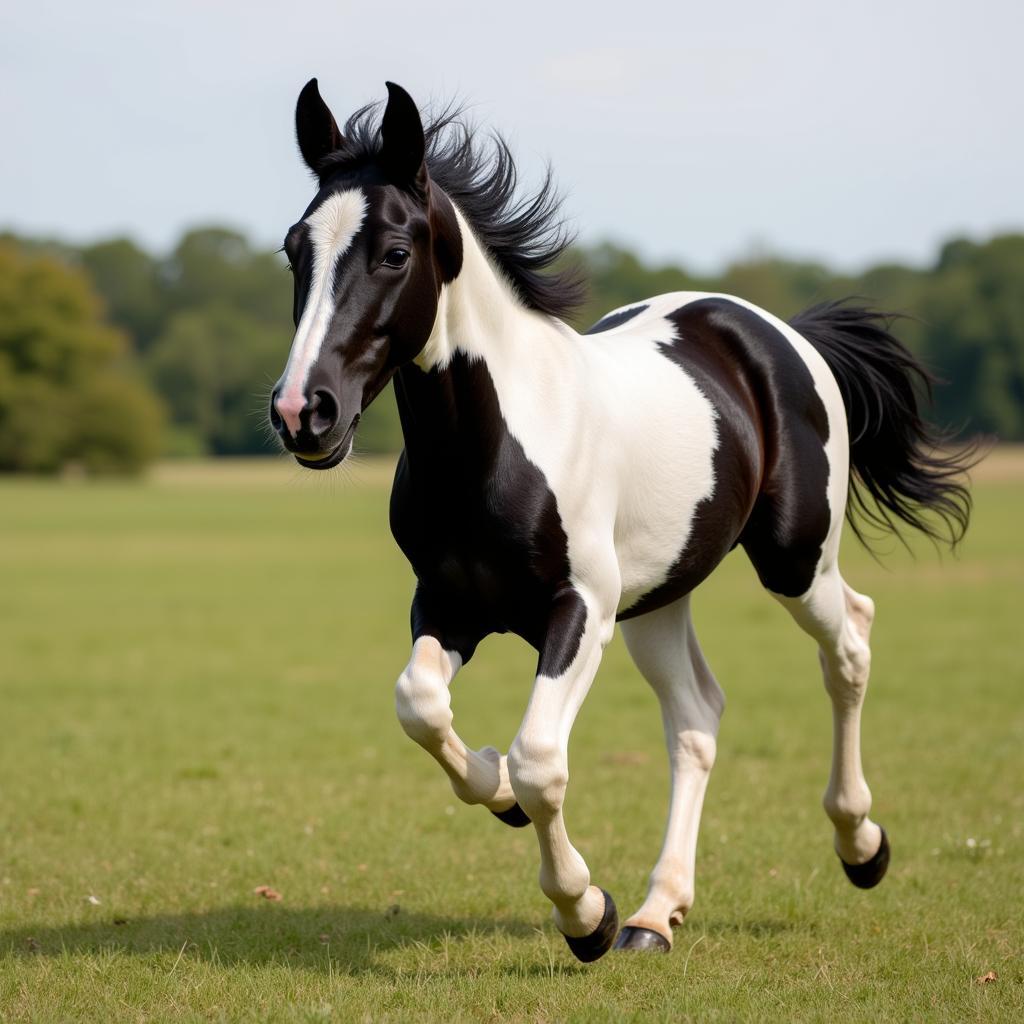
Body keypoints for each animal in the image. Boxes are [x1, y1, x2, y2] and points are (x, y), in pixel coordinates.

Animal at [268, 77, 970, 958]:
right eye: (294, 250)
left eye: (395, 253)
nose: (303, 413)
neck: (497, 447)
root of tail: (778, 333)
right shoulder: (449, 602)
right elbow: (421, 707)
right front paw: (497, 790)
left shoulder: (580, 611)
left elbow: (542, 758)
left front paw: (583, 914)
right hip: (657, 601)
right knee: (698, 716)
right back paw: (655, 914)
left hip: (793, 561)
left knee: (850, 644)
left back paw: (860, 846)